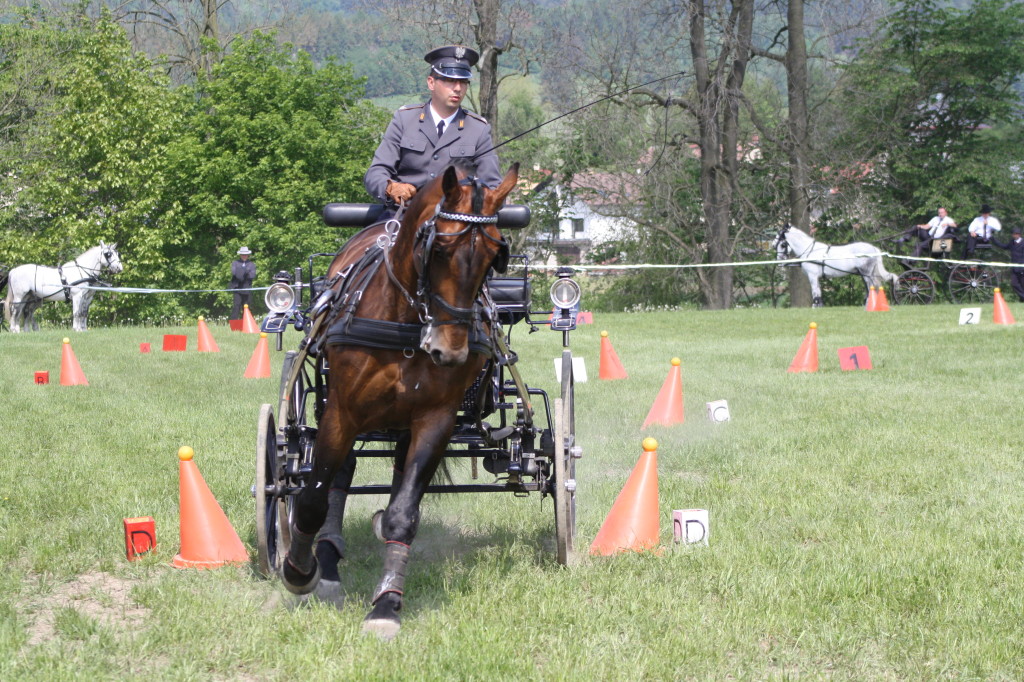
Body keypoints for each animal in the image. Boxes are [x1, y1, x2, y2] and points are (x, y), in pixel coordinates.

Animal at [282, 160, 516, 638]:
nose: (450, 350)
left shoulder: (434, 419)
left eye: (493, 256)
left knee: (396, 471)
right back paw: (326, 561)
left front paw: (387, 604)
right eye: (439, 249)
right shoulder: (343, 413)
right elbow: (314, 499)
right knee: (338, 475)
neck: (406, 322)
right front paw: (299, 570)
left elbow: (404, 514)